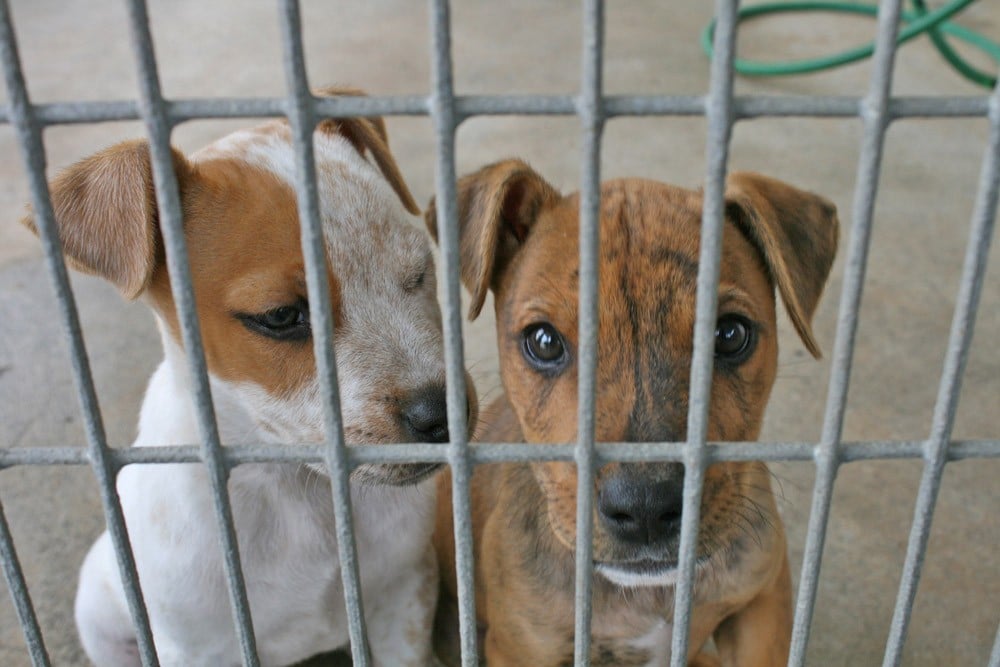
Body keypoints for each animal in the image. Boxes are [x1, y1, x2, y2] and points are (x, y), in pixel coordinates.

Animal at [23, 90, 474, 667]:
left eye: (418, 273)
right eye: (280, 316)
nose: (444, 414)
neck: (294, 490)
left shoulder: (403, 595)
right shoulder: (195, 649)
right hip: (98, 610)